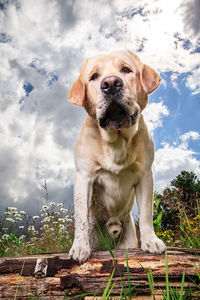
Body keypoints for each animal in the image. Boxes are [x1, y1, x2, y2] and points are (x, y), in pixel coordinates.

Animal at [68, 49, 165, 262]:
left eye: (126, 70)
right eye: (94, 76)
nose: (111, 83)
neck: (117, 140)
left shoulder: (145, 176)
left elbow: (146, 214)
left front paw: (150, 240)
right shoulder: (84, 177)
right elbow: (81, 217)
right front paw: (79, 246)